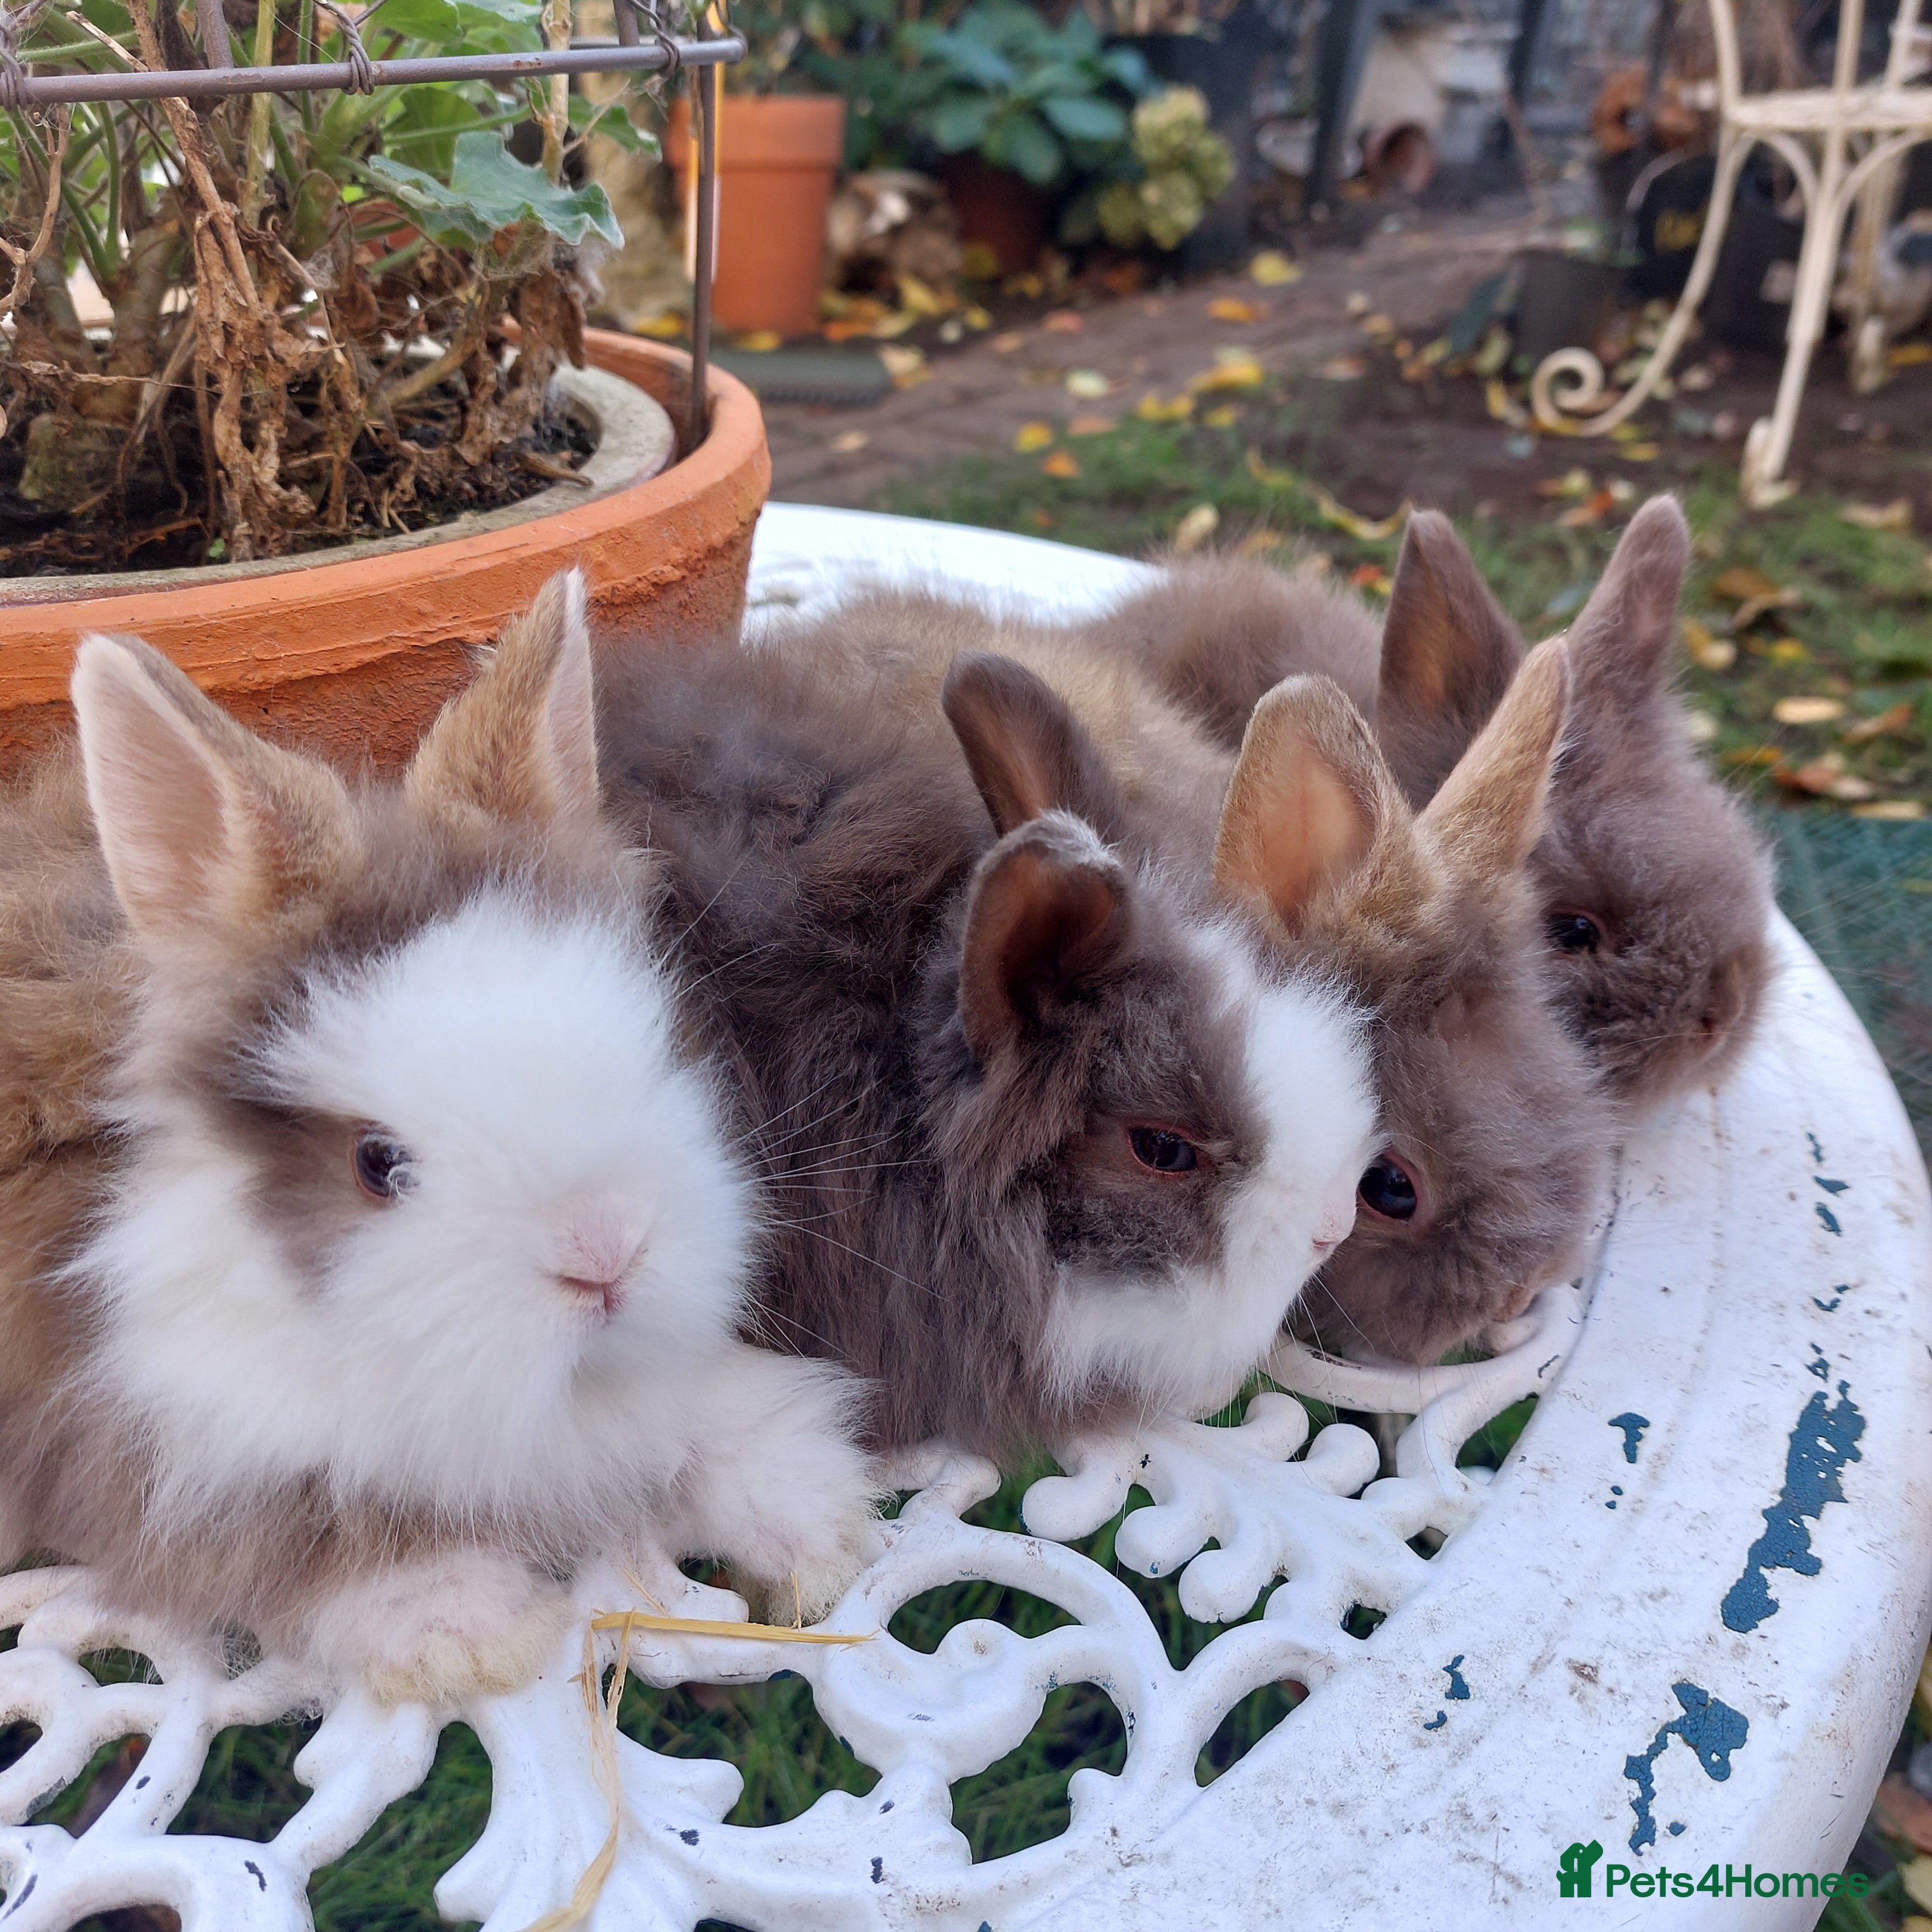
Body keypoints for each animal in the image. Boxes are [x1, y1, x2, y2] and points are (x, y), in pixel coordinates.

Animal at [0, 573, 880, 1705]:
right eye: (378, 1164)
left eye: (650, 1045)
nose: (605, 1262)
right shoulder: (136, 1450)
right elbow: (306, 1540)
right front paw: (472, 1631)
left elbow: (722, 1419)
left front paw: (816, 1535)